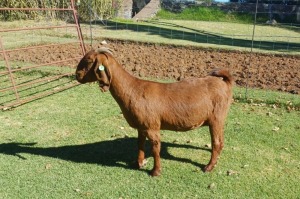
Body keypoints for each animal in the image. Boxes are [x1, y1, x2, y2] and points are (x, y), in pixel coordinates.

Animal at [75, 47, 234, 176]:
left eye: (89, 60)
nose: (77, 75)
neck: (133, 89)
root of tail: (224, 81)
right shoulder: (141, 126)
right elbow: (140, 144)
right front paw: (139, 163)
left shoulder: (152, 126)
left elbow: (155, 148)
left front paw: (155, 171)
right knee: (220, 142)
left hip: (216, 118)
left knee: (217, 142)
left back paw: (209, 167)